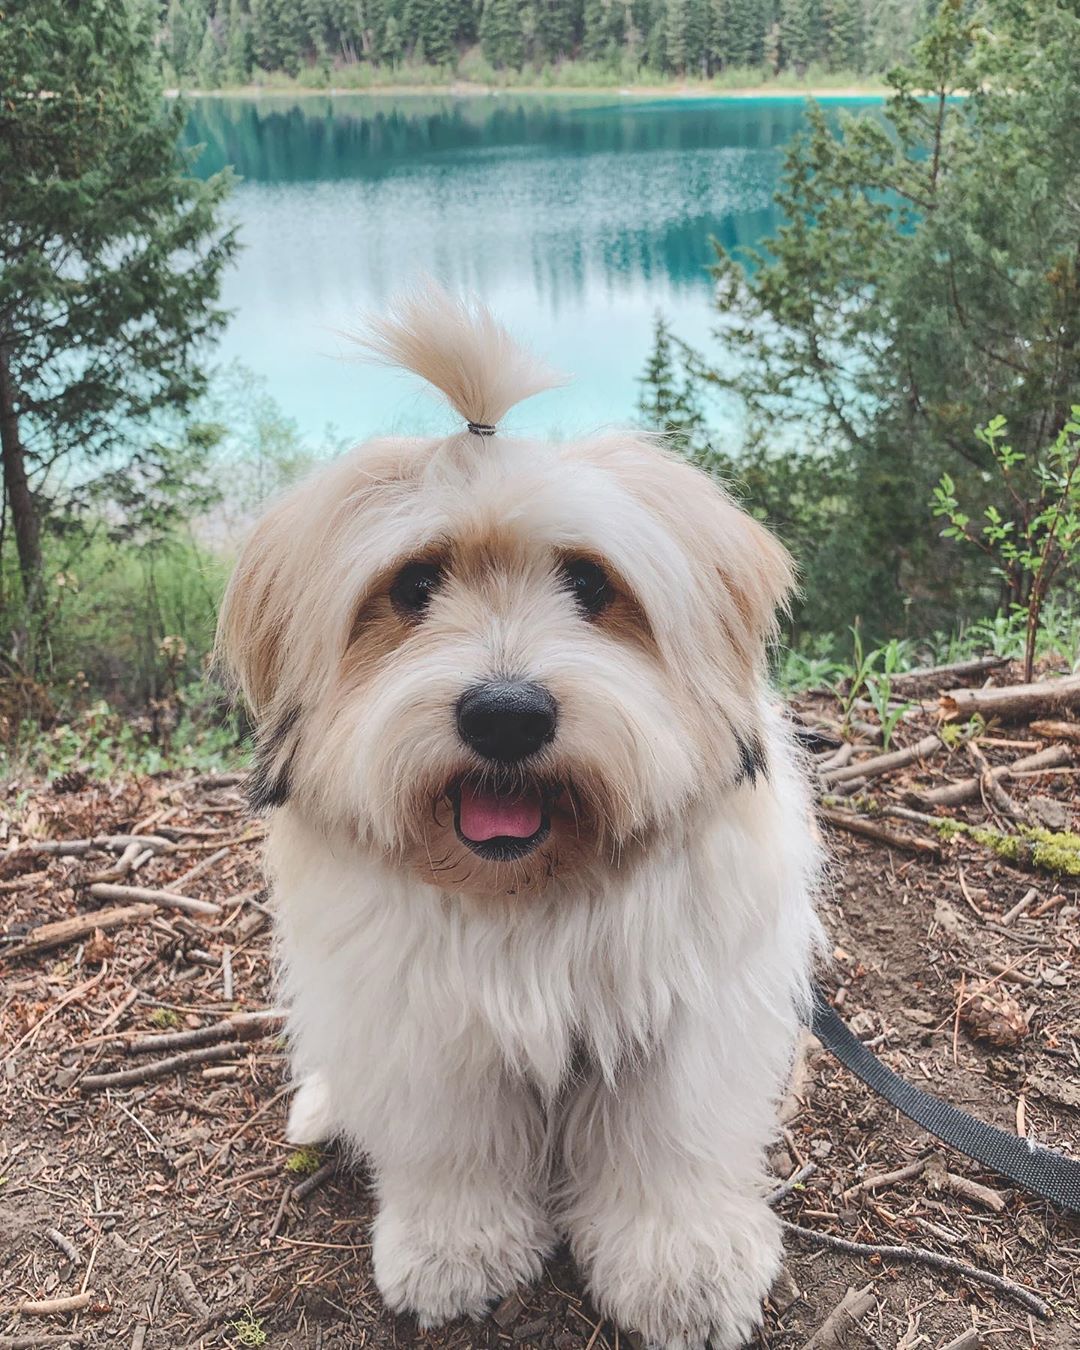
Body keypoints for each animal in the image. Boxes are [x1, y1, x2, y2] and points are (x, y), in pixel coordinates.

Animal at [216, 286, 822, 1350]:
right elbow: (450, 1146)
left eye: (590, 583)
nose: (505, 715)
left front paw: (685, 1266)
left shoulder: (686, 1012)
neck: (525, 898)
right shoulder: (420, 1021)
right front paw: (454, 1252)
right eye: (413, 587)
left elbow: (670, 1138)